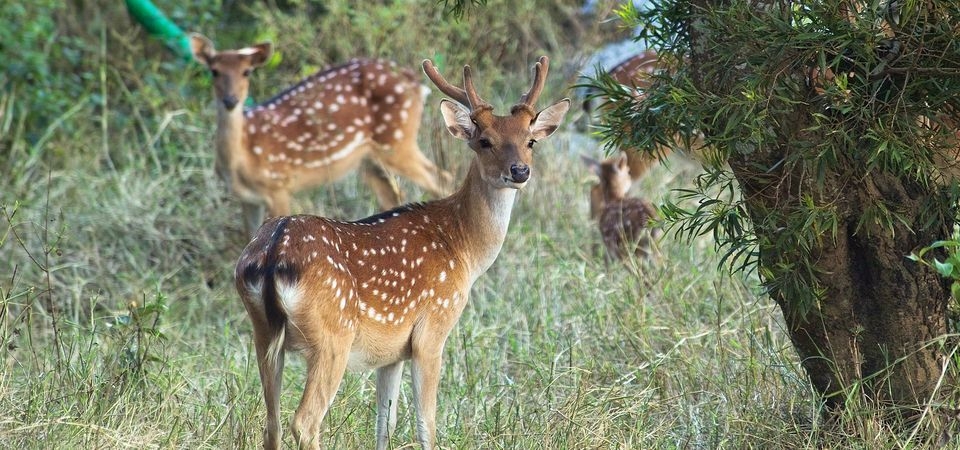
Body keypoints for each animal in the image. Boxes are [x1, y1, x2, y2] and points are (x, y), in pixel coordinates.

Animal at [193, 34, 456, 236]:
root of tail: (417, 84)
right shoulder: (248, 199)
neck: (244, 157)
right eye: (214, 71)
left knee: (441, 178)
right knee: (393, 195)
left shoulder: (279, 185)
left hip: (396, 140)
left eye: (247, 72)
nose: (230, 100)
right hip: (368, 158)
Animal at [234, 54, 568, 448]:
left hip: (263, 333)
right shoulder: (432, 329)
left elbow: (386, 422)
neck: (464, 250)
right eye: (485, 141)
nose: (519, 171)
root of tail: (273, 254)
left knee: (270, 422)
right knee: (304, 421)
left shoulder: (391, 352)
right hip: (332, 337)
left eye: (530, 141)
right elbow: (427, 422)